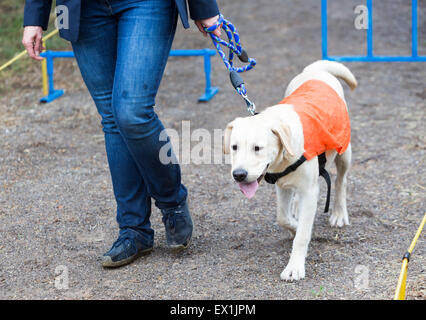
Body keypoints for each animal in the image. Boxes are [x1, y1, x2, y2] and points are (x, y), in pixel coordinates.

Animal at [225, 60, 358, 280]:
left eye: (258, 148)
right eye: (234, 147)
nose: (239, 175)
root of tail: (315, 70)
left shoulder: (310, 191)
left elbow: (303, 234)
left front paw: (294, 267)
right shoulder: (281, 184)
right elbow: (283, 217)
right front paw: (294, 224)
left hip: (344, 150)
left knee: (341, 181)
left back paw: (339, 213)